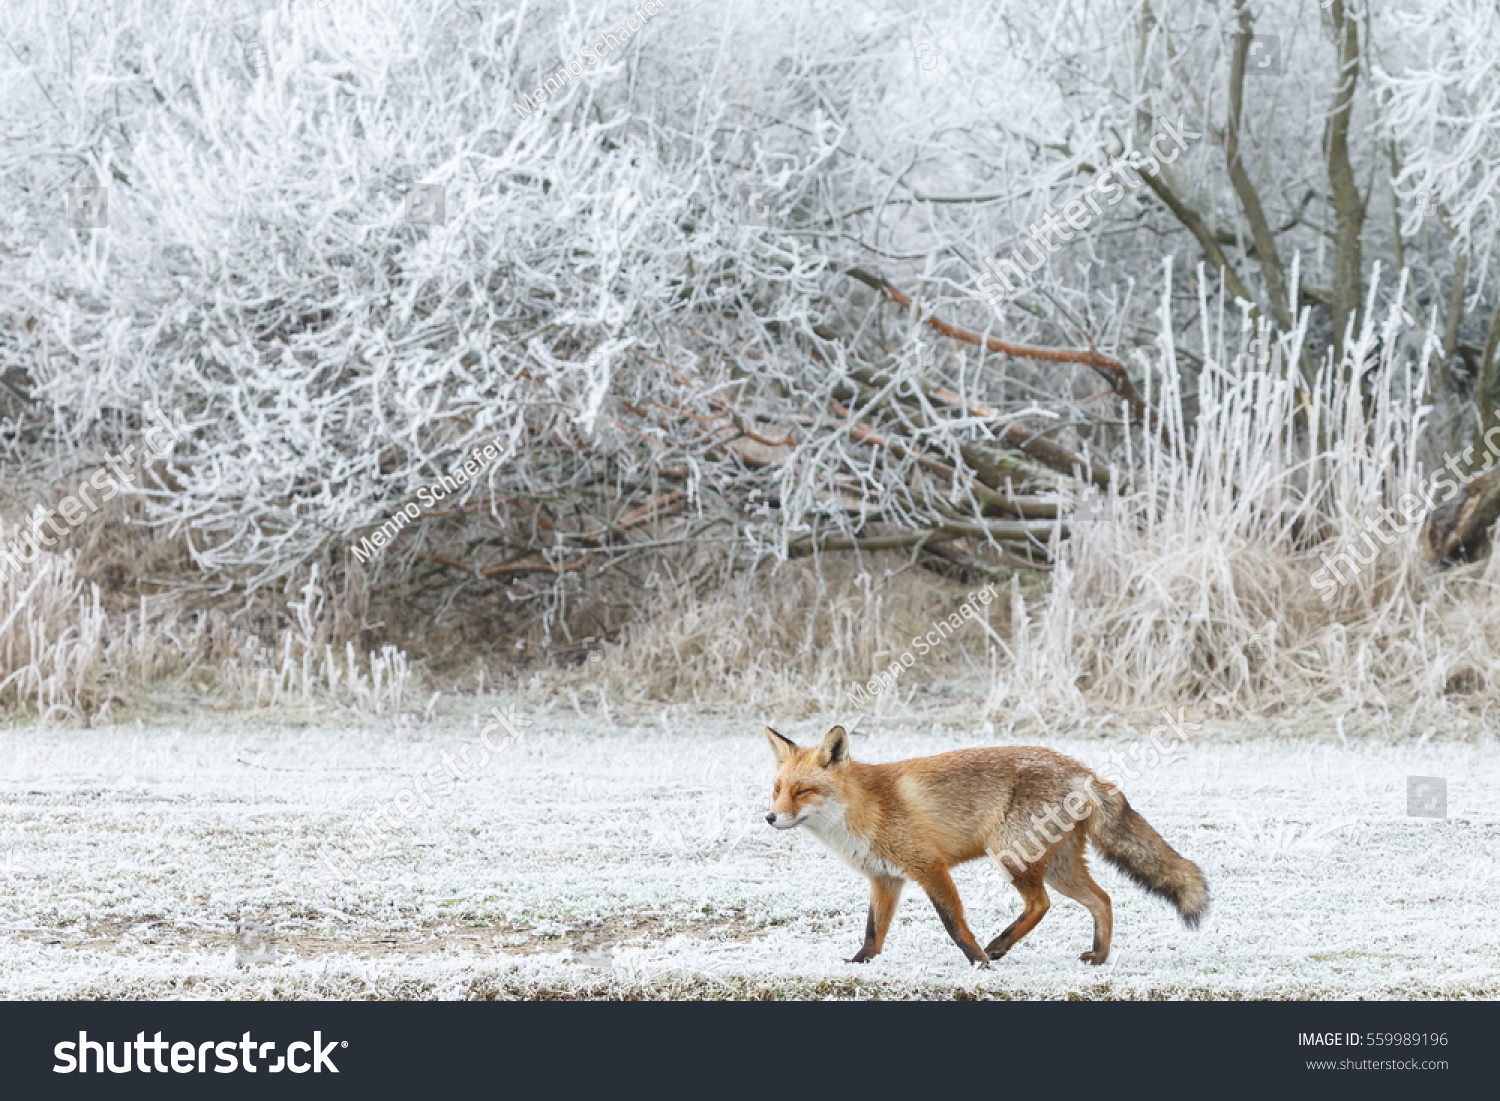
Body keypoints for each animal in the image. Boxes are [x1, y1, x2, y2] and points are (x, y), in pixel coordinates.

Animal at [763, 724, 1208, 967]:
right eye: (777, 790)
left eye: (803, 791)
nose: (769, 818)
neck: (865, 809)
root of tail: (1082, 769)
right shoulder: (885, 879)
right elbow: (874, 930)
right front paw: (860, 964)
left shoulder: (930, 866)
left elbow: (953, 922)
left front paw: (976, 962)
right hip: (1060, 867)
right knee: (1103, 900)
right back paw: (1098, 957)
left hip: (1012, 856)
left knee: (1041, 904)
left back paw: (997, 947)